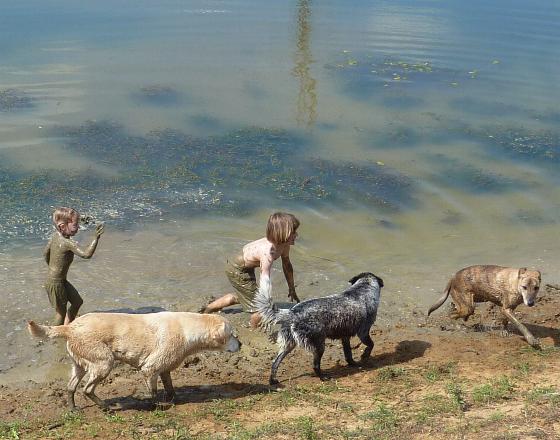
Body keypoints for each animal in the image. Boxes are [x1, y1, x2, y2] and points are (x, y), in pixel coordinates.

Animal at [27, 312, 241, 410]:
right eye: (232, 334)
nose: (241, 343)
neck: (188, 329)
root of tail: (70, 326)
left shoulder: (165, 369)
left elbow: (170, 388)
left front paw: (173, 399)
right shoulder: (150, 368)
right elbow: (153, 392)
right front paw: (157, 406)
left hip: (80, 364)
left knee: (71, 387)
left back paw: (73, 409)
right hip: (104, 362)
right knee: (87, 389)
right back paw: (106, 407)